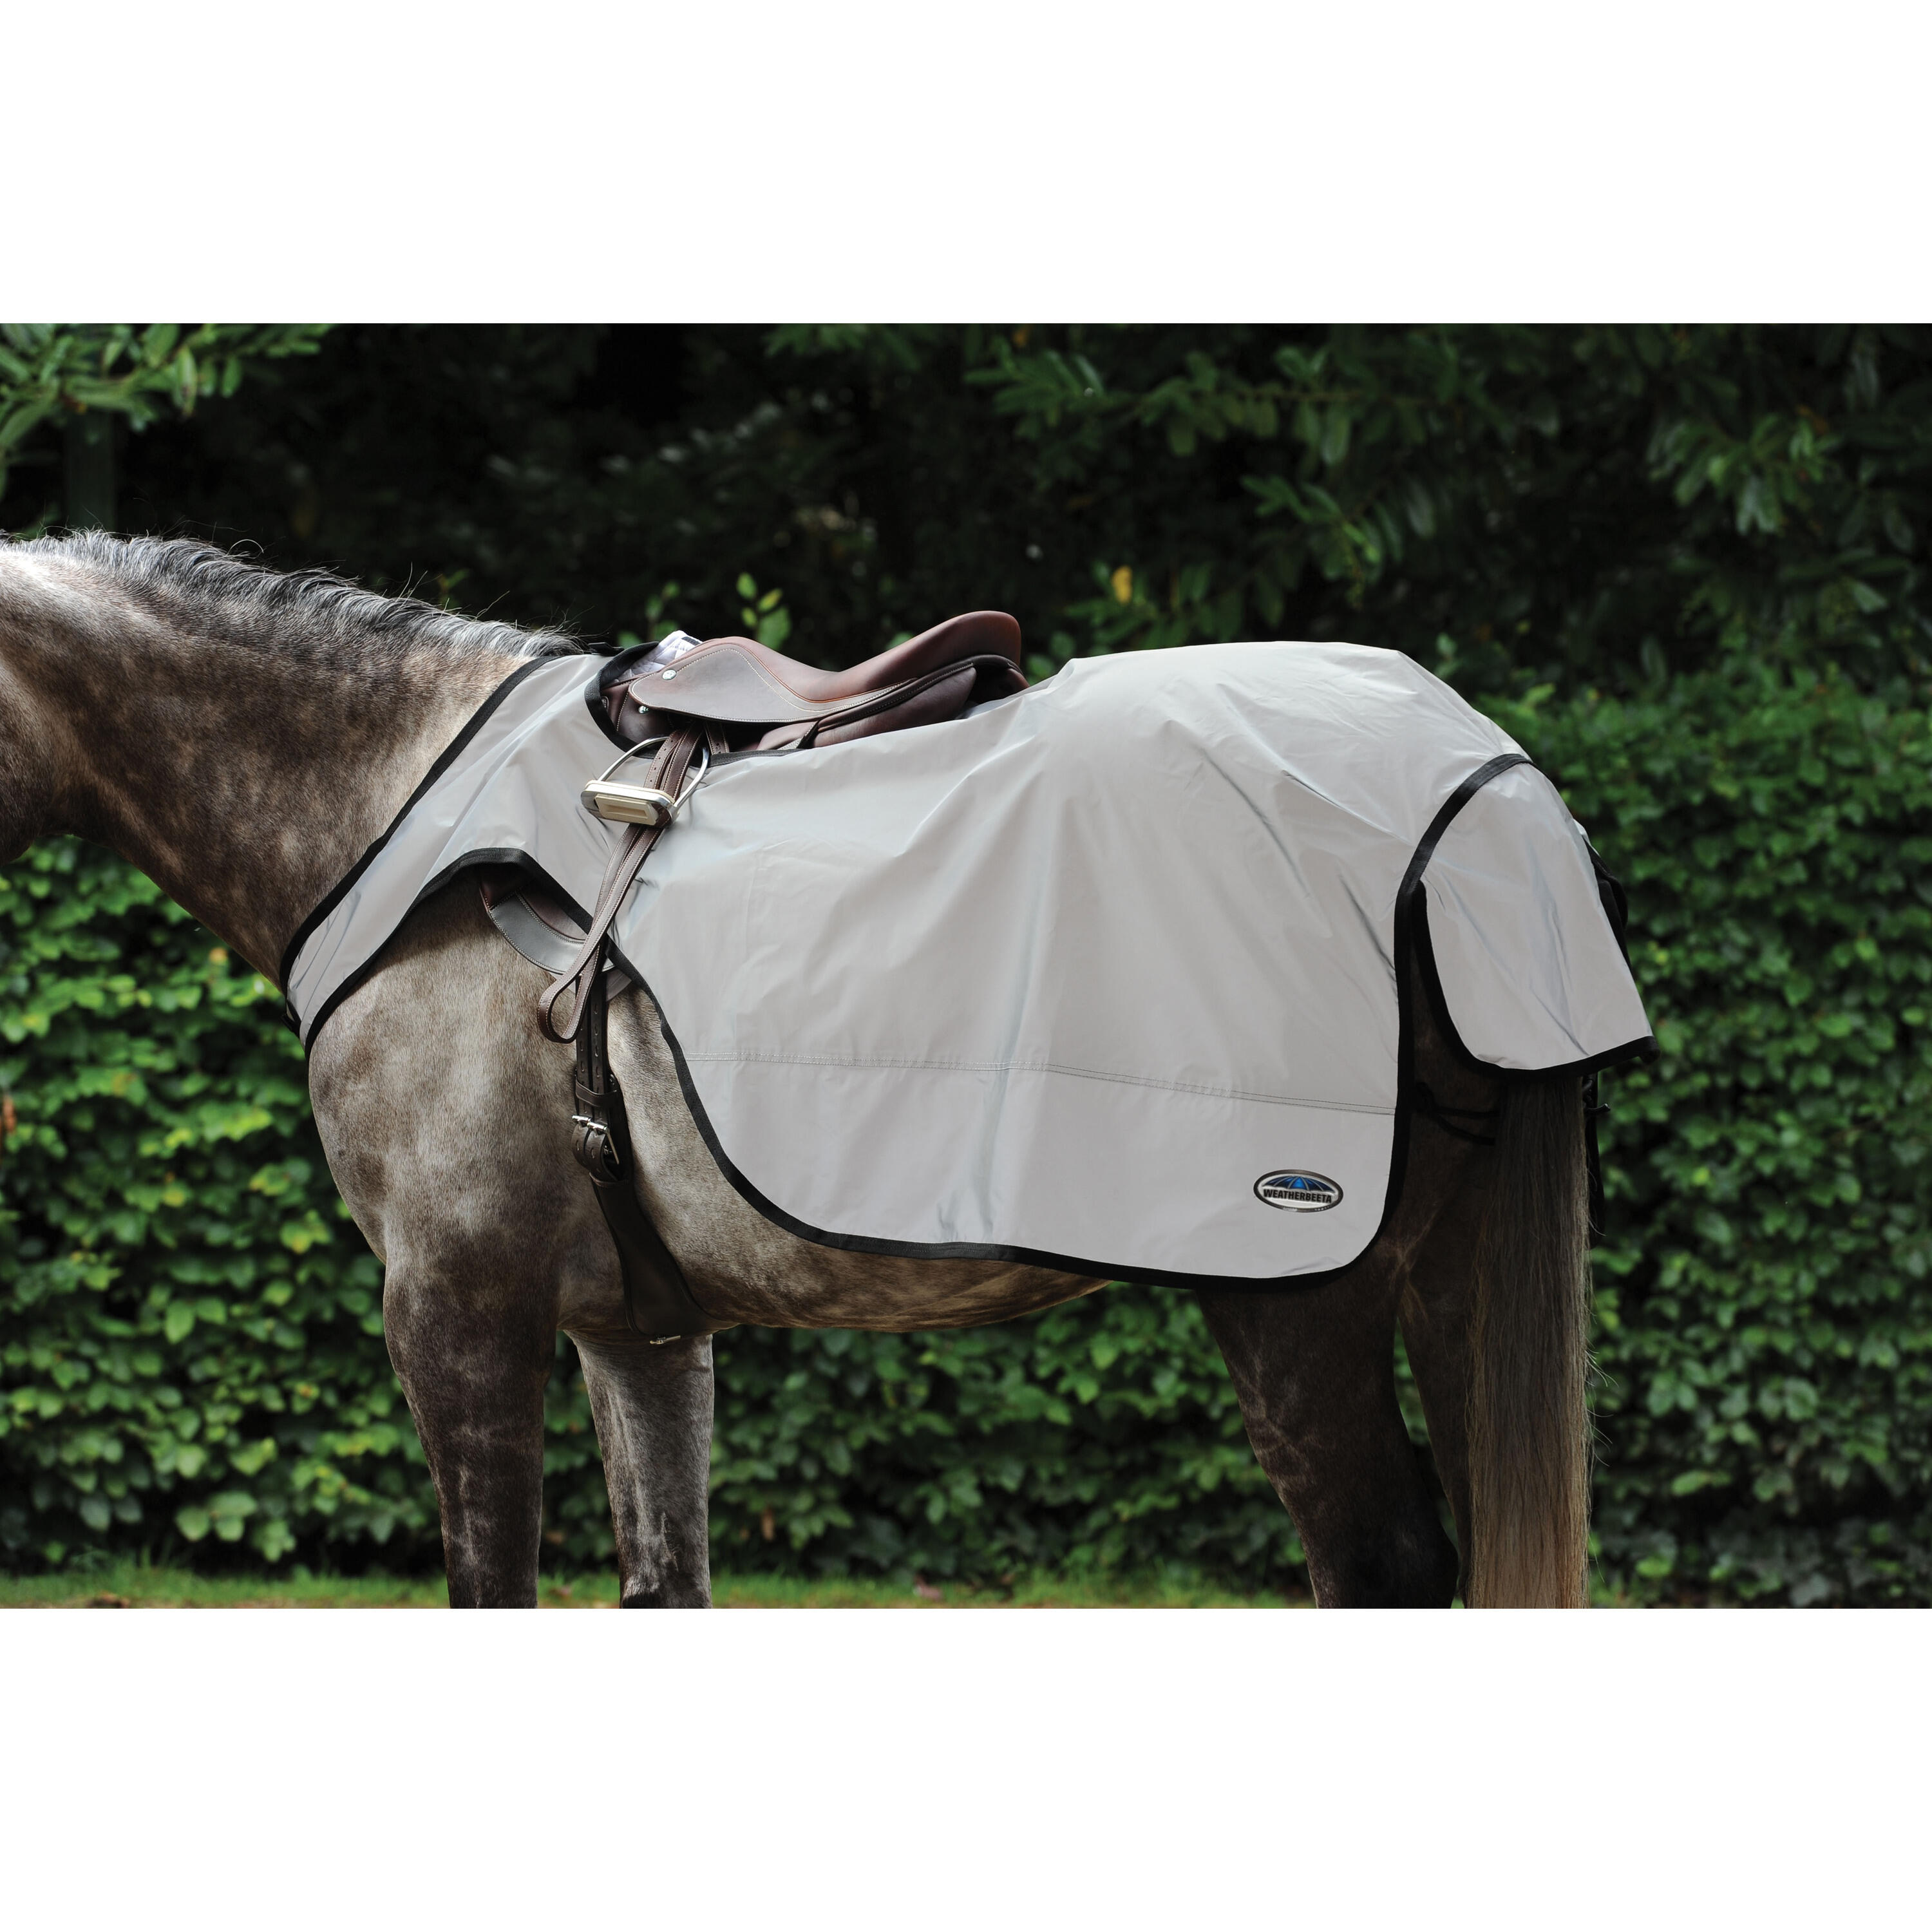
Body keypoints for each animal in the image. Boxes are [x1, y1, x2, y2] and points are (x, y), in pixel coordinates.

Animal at [0, 533, 1592, 1607]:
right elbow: (666, 1581)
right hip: (1448, 1280)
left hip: (1296, 1297)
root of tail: (1484, 791)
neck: (392, 805)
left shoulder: (456, 1307)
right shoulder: (634, 1330)